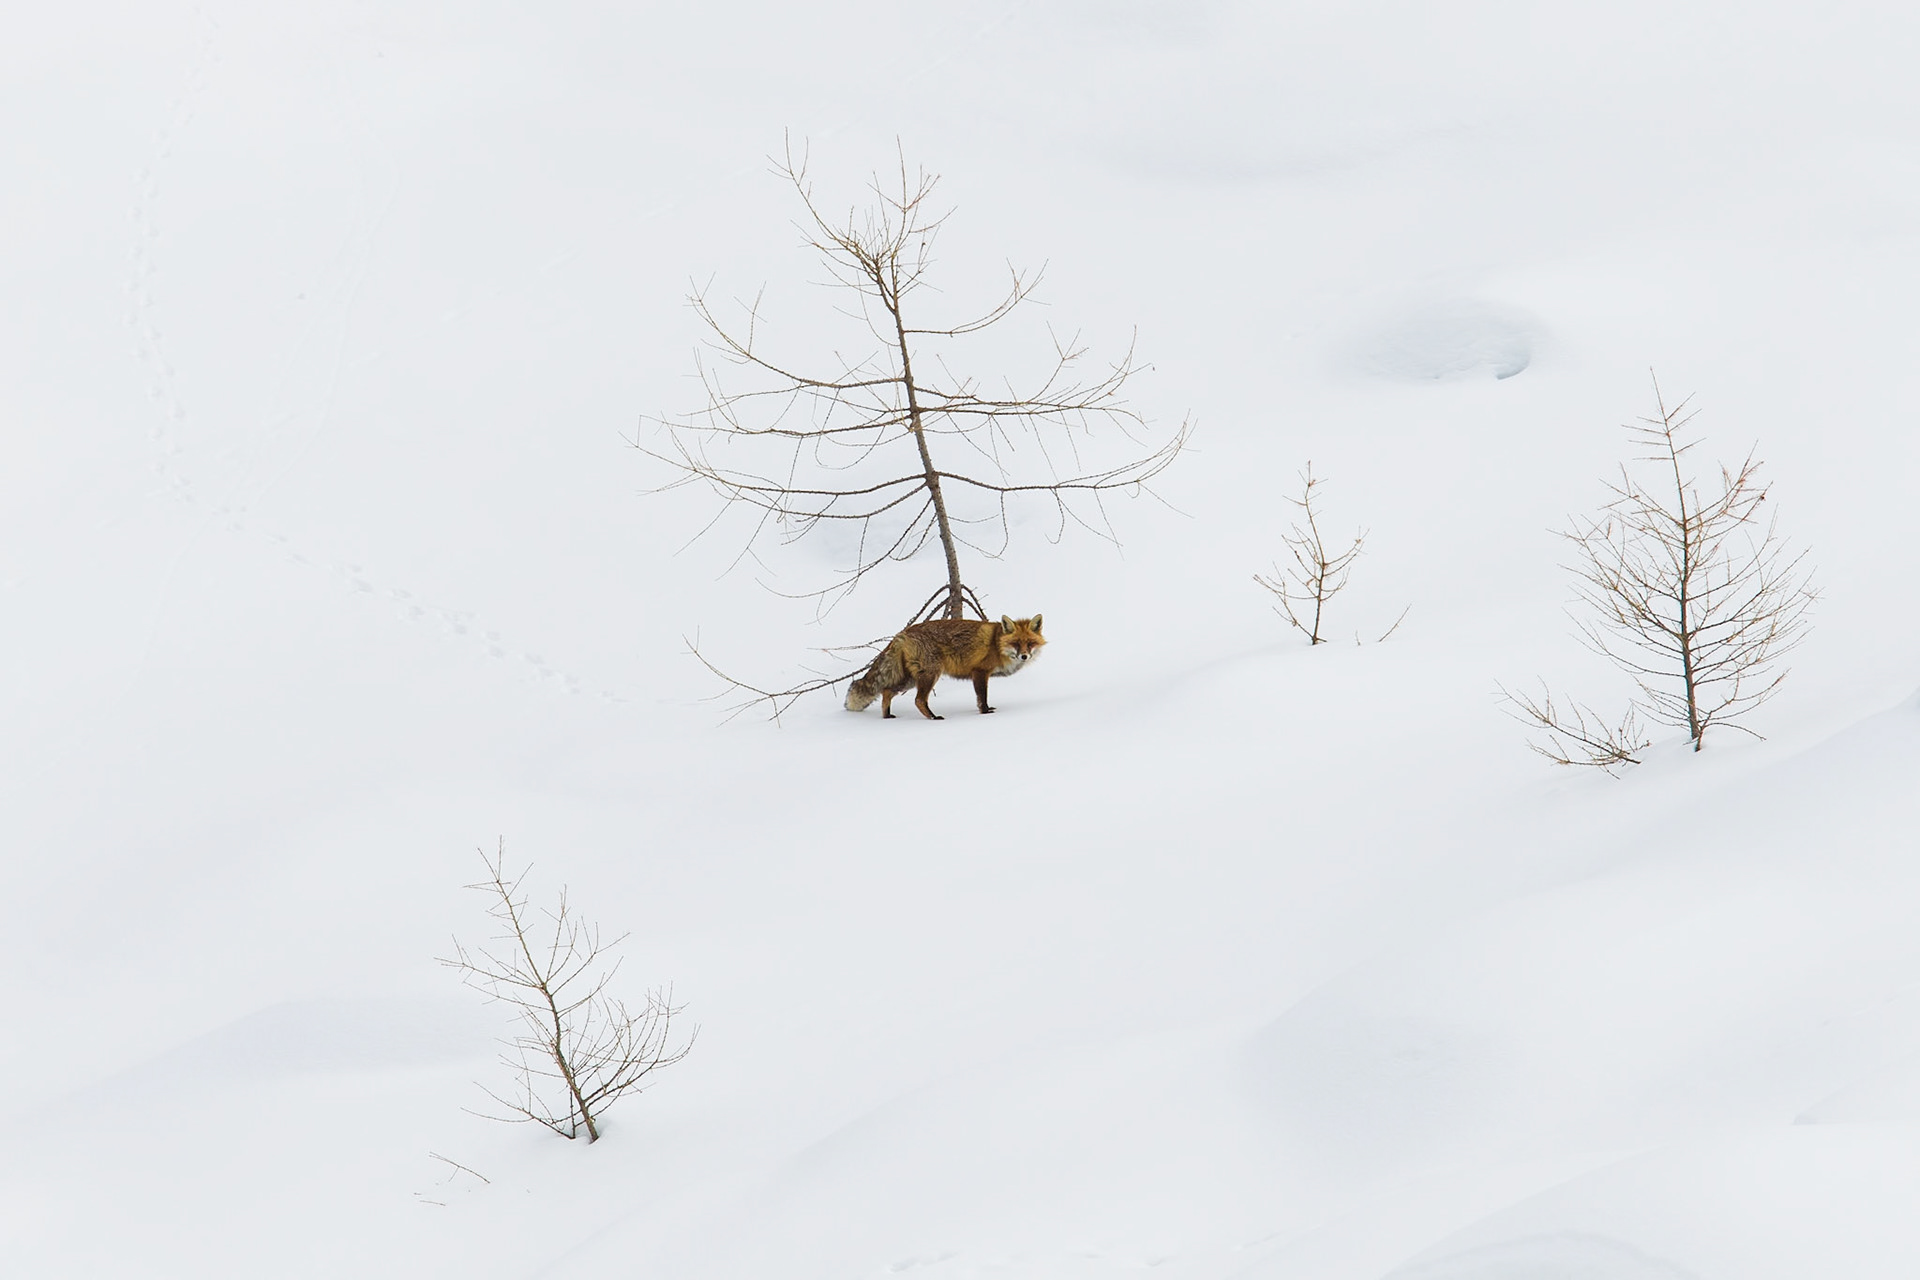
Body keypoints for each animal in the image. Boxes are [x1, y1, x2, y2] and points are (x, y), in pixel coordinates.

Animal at [844, 615, 1046, 720]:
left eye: (1030, 644)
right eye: (1016, 643)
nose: (1024, 656)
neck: (996, 644)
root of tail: (903, 632)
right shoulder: (979, 672)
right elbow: (982, 697)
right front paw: (985, 713)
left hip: (910, 678)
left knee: (886, 691)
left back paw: (887, 716)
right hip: (930, 674)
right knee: (918, 700)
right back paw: (933, 717)